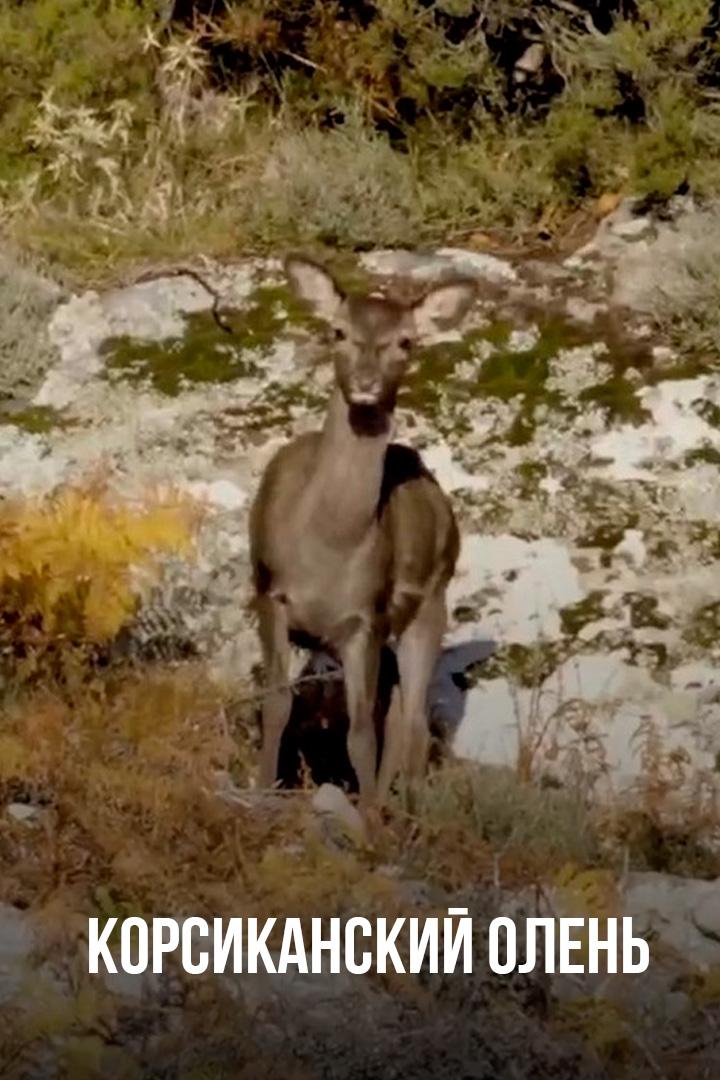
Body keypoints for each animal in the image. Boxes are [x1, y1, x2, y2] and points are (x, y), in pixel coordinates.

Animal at [248, 255, 477, 822]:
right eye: (339, 331)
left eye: (406, 341)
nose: (367, 382)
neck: (327, 550)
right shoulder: (269, 593)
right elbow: (277, 704)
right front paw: (261, 792)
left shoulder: (364, 620)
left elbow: (360, 735)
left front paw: (371, 822)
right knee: (400, 711)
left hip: (432, 600)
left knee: (410, 717)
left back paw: (408, 812)